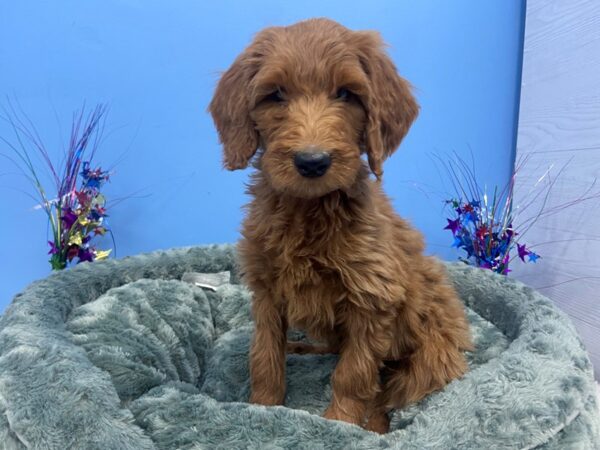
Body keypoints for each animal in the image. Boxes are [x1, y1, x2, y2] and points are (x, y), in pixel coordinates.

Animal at [209, 17, 472, 432]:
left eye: (347, 94)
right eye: (276, 94)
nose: (312, 161)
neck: (308, 209)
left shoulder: (373, 297)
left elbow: (354, 373)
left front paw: (340, 425)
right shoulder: (266, 290)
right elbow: (264, 355)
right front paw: (263, 408)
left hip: (429, 358)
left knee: (387, 392)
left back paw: (375, 426)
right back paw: (302, 347)